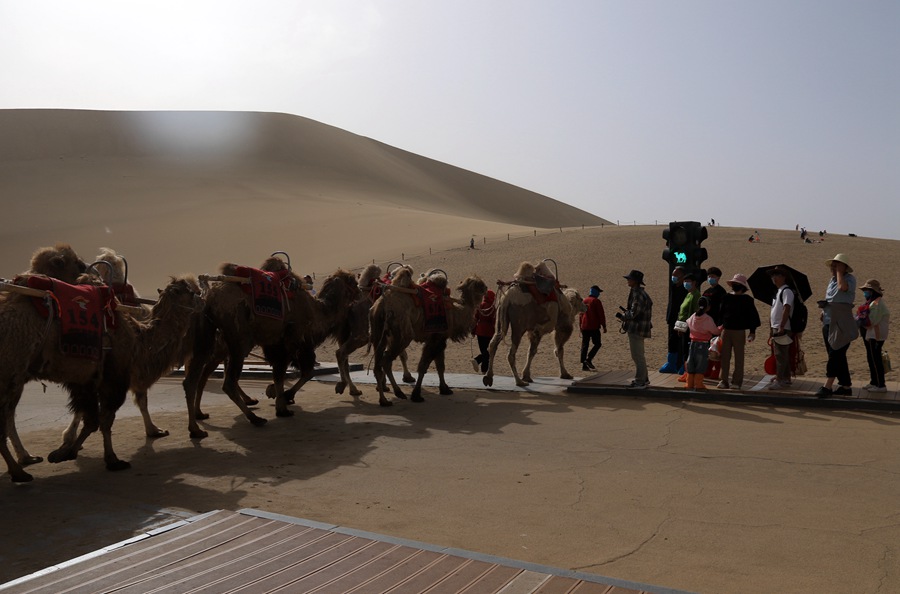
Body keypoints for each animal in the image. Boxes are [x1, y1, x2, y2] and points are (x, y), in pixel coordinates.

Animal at [0, 272, 200, 480]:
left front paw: (65, 451)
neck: (138, 340)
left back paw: (25, 460)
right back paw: (19, 471)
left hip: (16, 376)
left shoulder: (85, 380)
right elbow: (104, 419)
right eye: (191, 291)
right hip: (10, 371)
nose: (201, 298)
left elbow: (90, 419)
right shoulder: (114, 378)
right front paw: (112, 460)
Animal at [183, 256, 358, 438]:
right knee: (227, 382)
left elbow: (286, 374)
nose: (360, 292)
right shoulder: (292, 342)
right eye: (353, 282)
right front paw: (283, 404)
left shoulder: (278, 345)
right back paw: (254, 418)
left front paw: (279, 396)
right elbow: (295, 373)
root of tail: (208, 298)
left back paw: (197, 422)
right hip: (239, 340)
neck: (316, 311)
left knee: (196, 379)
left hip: (210, 339)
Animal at [370, 270, 488, 404]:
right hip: (402, 334)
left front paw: (445, 389)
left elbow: (440, 366)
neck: (455, 312)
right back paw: (397, 393)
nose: (486, 288)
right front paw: (416, 395)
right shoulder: (435, 339)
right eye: (479, 284)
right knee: (386, 361)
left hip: (378, 332)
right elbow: (424, 366)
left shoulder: (440, 338)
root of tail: (382, 304)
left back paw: (384, 399)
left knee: (378, 364)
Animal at [486, 260, 584, 388]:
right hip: (519, 325)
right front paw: (565, 374)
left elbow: (531, 351)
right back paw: (519, 382)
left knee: (493, 343)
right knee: (511, 353)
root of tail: (507, 298)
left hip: (500, 318)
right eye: (580, 299)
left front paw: (527, 375)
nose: (586, 306)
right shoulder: (556, 327)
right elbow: (558, 349)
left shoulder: (533, 330)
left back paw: (488, 378)